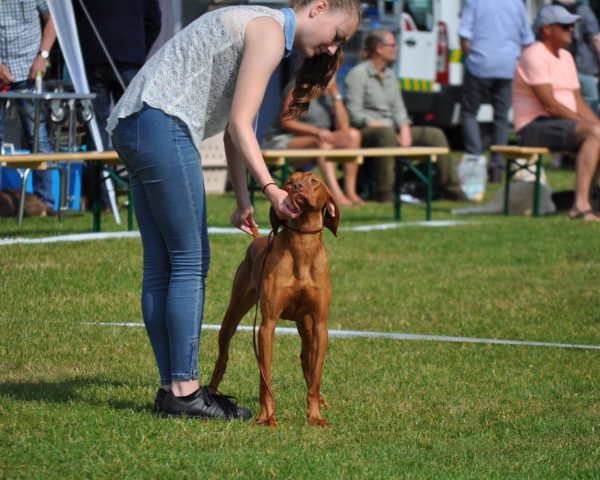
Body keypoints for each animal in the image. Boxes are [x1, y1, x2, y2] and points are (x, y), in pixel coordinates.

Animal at [210, 171, 342, 426]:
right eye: (289, 181)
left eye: (314, 181)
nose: (297, 187)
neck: (303, 248)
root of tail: (257, 239)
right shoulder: (267, 325)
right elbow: (265, 378)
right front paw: (267, 417)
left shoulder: (320, 325)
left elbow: (316, 376)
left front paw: (315, 416)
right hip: (232, 314)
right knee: (223, 355)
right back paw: (210, 392)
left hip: (306, 325)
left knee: (306, 359)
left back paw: (320, 400)